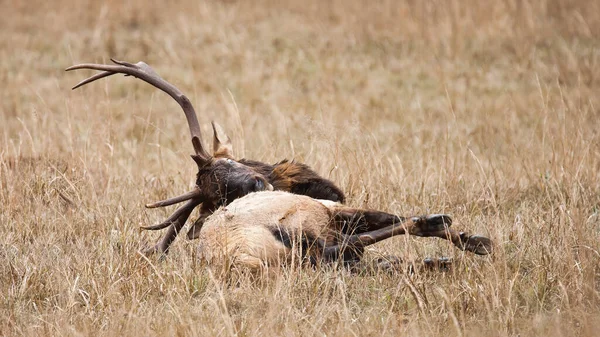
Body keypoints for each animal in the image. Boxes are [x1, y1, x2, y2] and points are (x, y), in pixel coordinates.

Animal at [65, 58, 492, 268]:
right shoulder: (332, 207)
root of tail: (238, 254)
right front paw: (470, 239)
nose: (257, 185)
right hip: (308, 229)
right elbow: (392, 217)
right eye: (219, 189)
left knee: (346, 256)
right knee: (347, 247)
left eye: (230, 167)